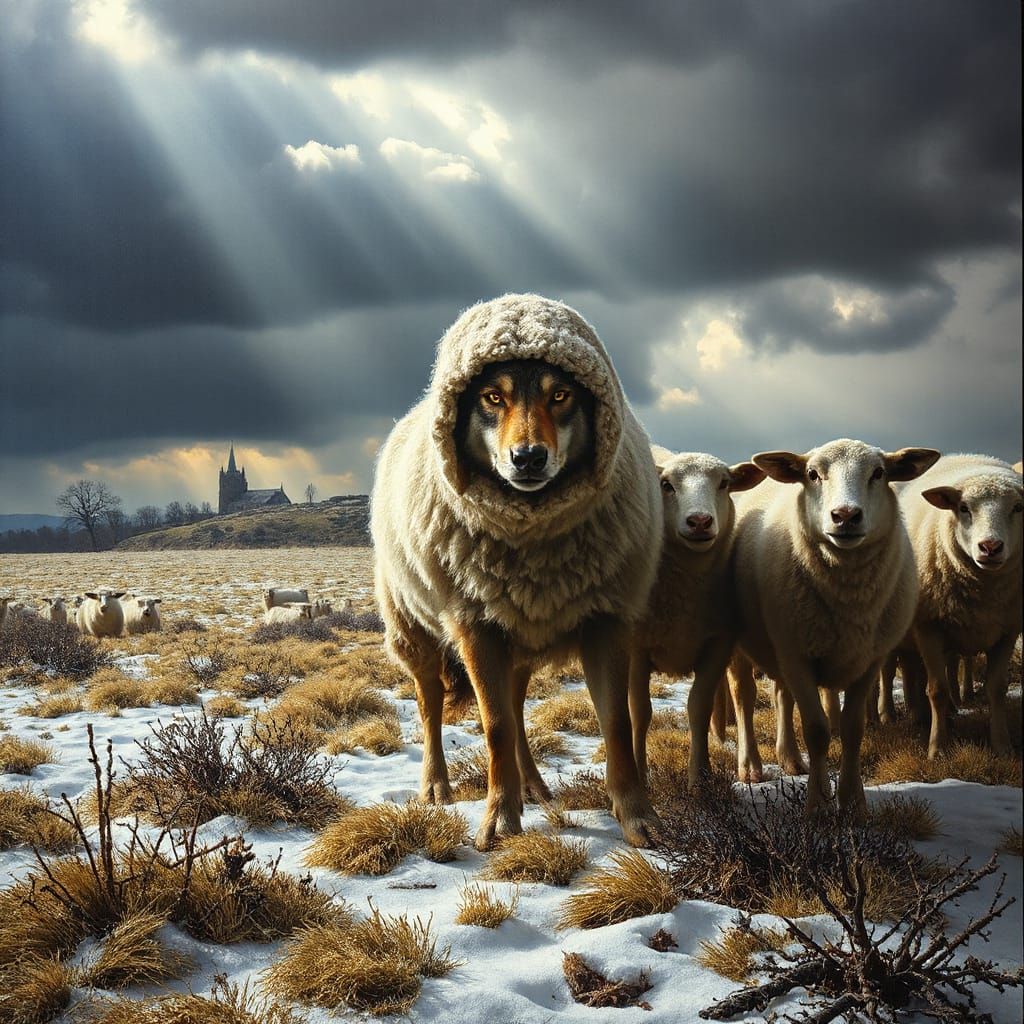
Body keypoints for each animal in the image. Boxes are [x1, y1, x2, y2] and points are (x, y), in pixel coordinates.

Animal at [628, 448, 765, 787]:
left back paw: (748, 763)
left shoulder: (717, 642)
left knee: (742, 696)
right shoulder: (635, 648)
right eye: (666, 485)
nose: (700, 521)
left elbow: (697, 708)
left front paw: (700, 780)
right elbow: (640, 713)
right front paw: (638, 779)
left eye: (724, 483)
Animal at [728, 439, 940, 816]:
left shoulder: (869, 660)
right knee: (744, 698)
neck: (849, 598)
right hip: (747, 644)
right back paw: (750, 766)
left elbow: (853, 730)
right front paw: (818, 806)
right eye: (813, 474)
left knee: (782, 696)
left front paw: (854, 803)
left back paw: (791, 760)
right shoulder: (797, 657)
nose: (845, 516)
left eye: (878, 473)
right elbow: (817, 731)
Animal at [895, 454, 1022, 756]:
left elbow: (997, 688)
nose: (990, 547)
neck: (985, 591)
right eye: (964, 508)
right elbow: (936, 689)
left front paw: (1002, 745)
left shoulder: (1008, 629)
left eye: (1018, 507)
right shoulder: (928, 627)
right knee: (911, 672)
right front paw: (937, 747)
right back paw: (910, 715)